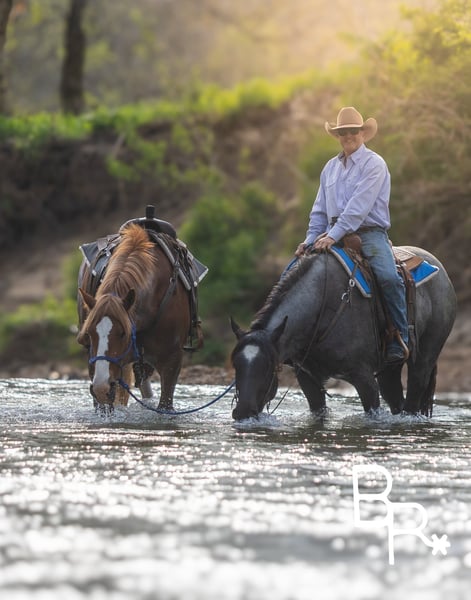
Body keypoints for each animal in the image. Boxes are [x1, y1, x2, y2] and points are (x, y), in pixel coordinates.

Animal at [230, 246, 456, 421]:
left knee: (414, 394)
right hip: (390, 368)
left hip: (425, 358)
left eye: (268, 367)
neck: (322, 306)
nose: (242, 412)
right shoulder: (308, 379)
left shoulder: (364, 378)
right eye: (235, 364)